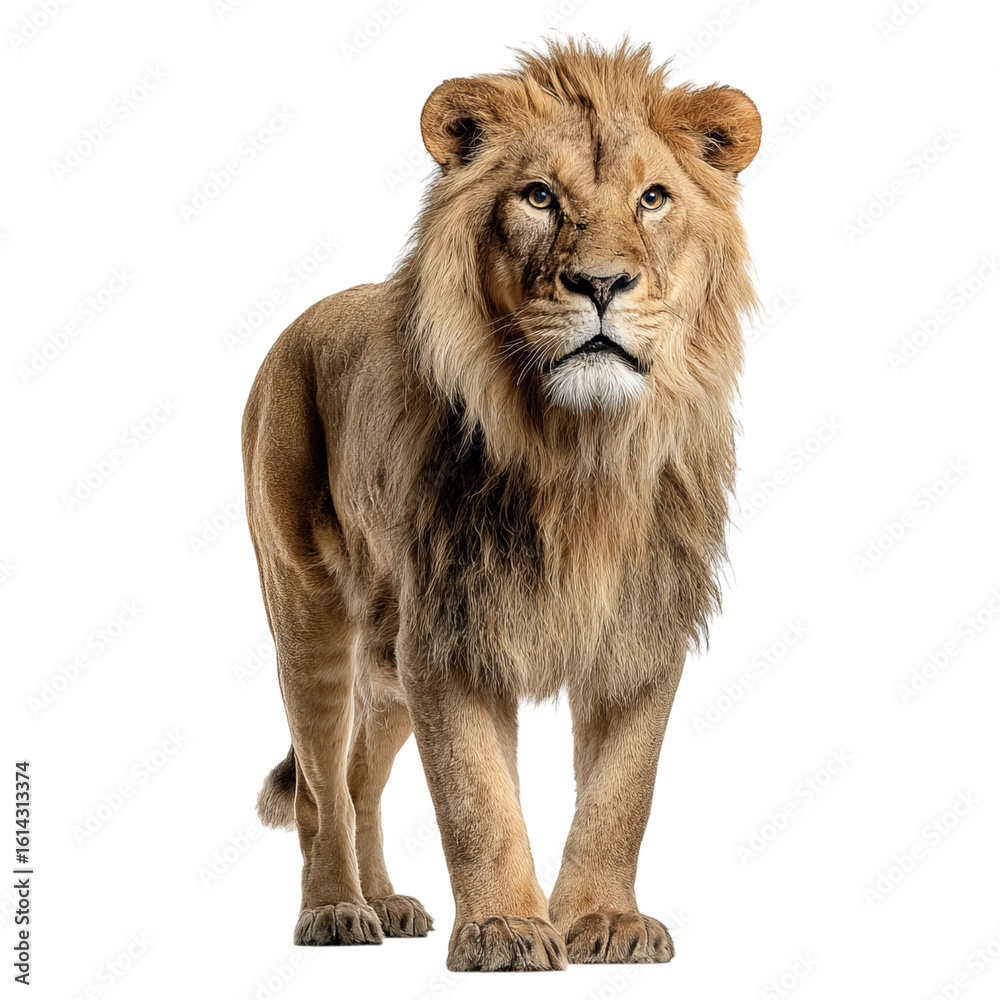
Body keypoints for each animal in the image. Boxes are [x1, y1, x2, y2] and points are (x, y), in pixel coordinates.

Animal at [242, 37, 760, 972]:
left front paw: (606, 920)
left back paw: (386, 901)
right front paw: (505, 930)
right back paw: (336, 909)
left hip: (387, 657)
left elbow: (622, 794)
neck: (582, 453)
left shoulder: (641, 631)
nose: (602, 283)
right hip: (308, 615)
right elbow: (476, 800)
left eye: (653, 197)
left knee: (361, 774)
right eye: (540, 196)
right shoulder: (448, 632)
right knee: (320, 784)